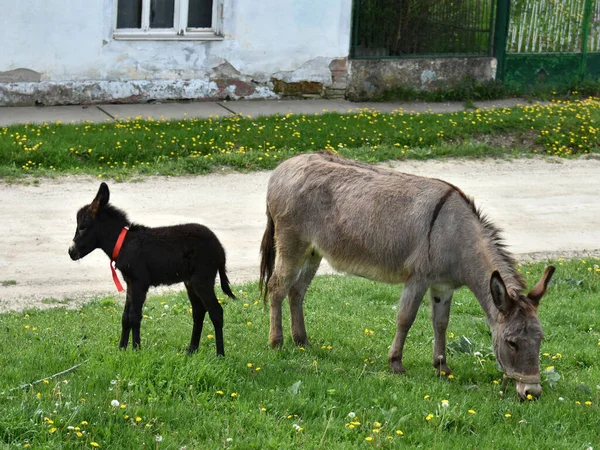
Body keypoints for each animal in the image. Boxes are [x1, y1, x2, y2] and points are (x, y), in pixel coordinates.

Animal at [69, 182, 236, 356]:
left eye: (82, 227)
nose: (71, 252)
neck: (123, 243)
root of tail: (220, 248)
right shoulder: (130, 283)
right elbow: (125, 317)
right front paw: (121, 349)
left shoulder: (139, 283)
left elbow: (134, 316)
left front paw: (136, 349)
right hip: (190, 282)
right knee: (199, 312)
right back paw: (191, 351)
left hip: (202, 280)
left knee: (216, 312)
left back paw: (220, 355)